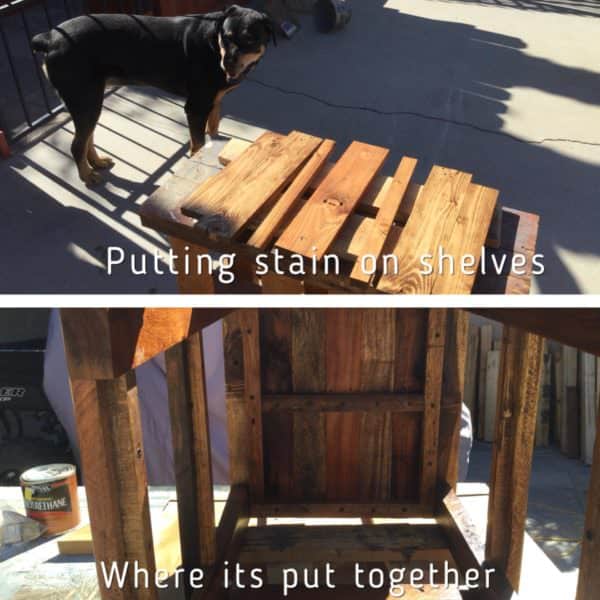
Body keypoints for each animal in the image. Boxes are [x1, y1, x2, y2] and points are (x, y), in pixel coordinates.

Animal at [32, 5, 274, 183]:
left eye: (250, 39)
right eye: (226, 36)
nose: (228, 63)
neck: (213, 45)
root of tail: (49, 37)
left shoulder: (214, 101)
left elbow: (212, 130)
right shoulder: (196, 107)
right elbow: (198, 143)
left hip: (89, 101)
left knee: (86, 138)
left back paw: (97, 163)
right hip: (85, 99)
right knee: (77, 145)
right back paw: (87, 176)